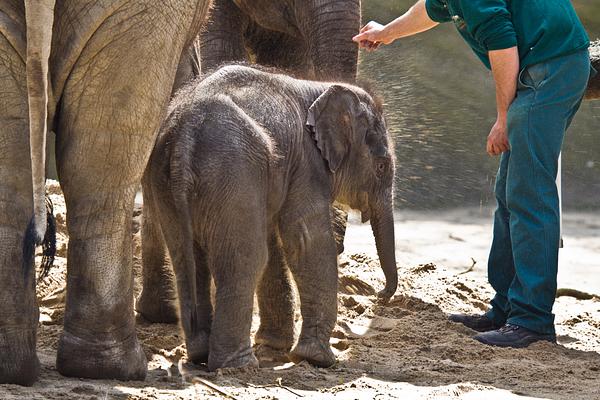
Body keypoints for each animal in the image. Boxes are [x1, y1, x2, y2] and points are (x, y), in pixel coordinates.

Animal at [144, 65, 398, 368]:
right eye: (381, 166)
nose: (380, 295)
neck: (319, 88)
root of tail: (185, 136)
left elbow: (275, 240)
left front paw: (277, 346)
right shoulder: (306, 164)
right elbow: (306, 241)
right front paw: (317, 359)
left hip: (166, 180)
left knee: (187, 259)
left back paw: (199, 355)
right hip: (232, 172)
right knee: (245, 258)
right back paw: (239, 365)